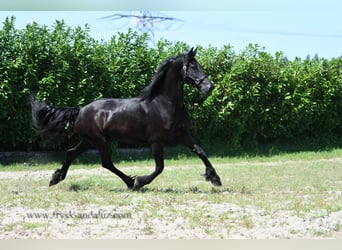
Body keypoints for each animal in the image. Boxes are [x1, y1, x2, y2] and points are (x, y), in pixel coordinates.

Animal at [31, 48, 222, 189]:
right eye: (193, 66)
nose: (209, 87)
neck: (164, 104)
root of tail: (80, 110)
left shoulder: (183, 135)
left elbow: (201, 151)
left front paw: (215, 179)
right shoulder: (156, 141)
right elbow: (159, 167)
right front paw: (140, 181)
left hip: (89, 140)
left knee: (71, 153)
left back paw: (56, 178)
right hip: (99, 141)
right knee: (106, 162)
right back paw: (130, 182)